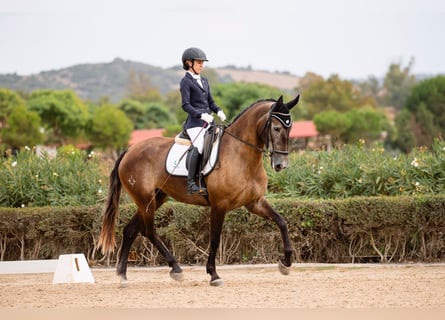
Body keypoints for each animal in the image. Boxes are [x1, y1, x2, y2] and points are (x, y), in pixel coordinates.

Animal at [97, 94, 298, 286]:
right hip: (146, 199)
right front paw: (213, 274)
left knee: (130, 230)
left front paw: (286, 263)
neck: (241, 154)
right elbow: (215, 239)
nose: (281, 165)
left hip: (154, 198)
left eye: (290, 128)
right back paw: (176, 268)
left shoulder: (254, 202)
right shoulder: (219, 205)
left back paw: (122, 275)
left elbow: (282, 222)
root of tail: (129, 151)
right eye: (276, 128)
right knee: (149, 232)